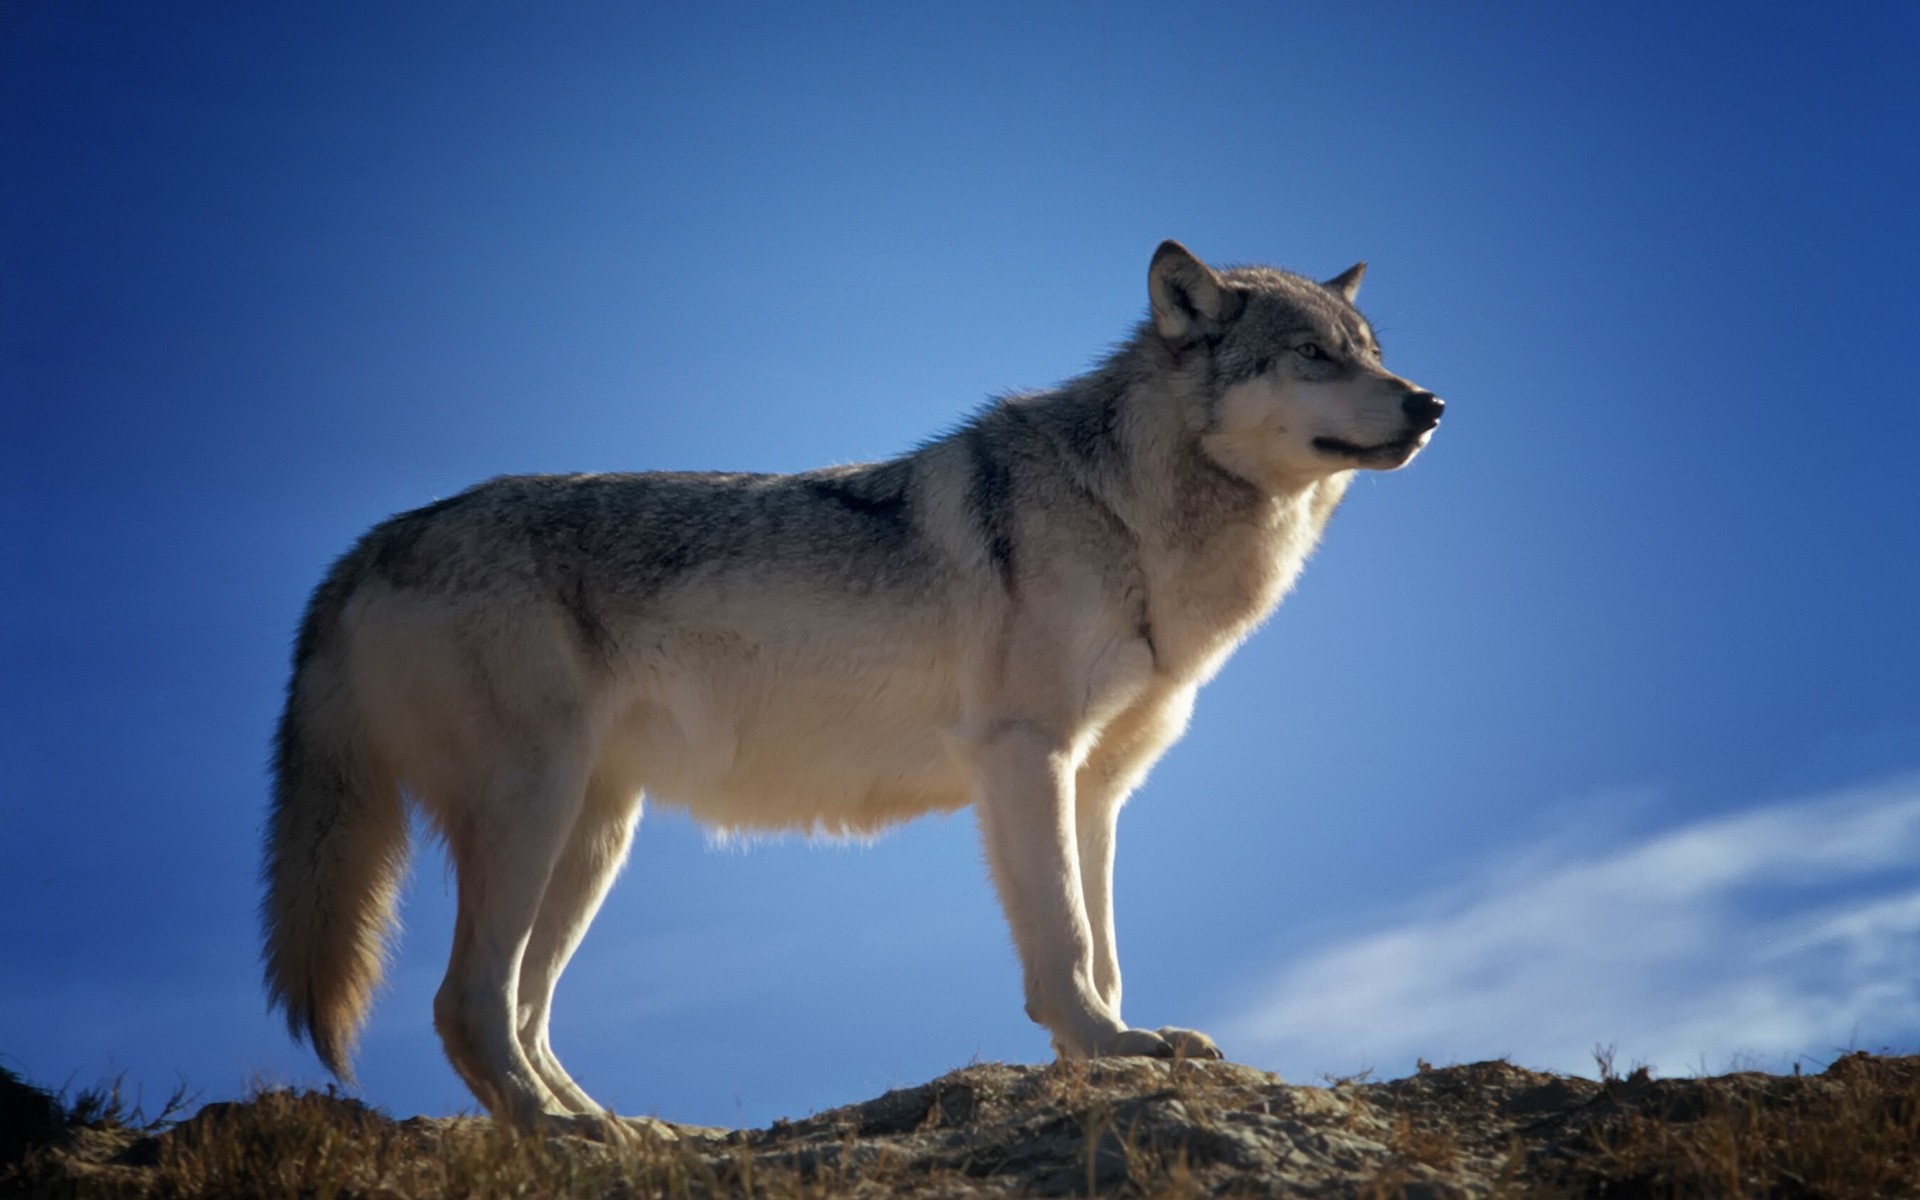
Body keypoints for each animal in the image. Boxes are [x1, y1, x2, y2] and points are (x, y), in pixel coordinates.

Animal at [263, 239, 1443, 1128]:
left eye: (1371, 353)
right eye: (1312, 356)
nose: (1430, 404)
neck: (1128, 515)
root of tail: (366, 546)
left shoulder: (1098, 786)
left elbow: (1103, 945)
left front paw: (1118, 1046)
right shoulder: (1025, 758)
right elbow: (1064, 942)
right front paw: (1106, 1050)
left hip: (594, 838)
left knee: (522, 1011)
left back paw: (620, 1130)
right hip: (533, 813)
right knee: (467, 1005)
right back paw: (560, 1136)